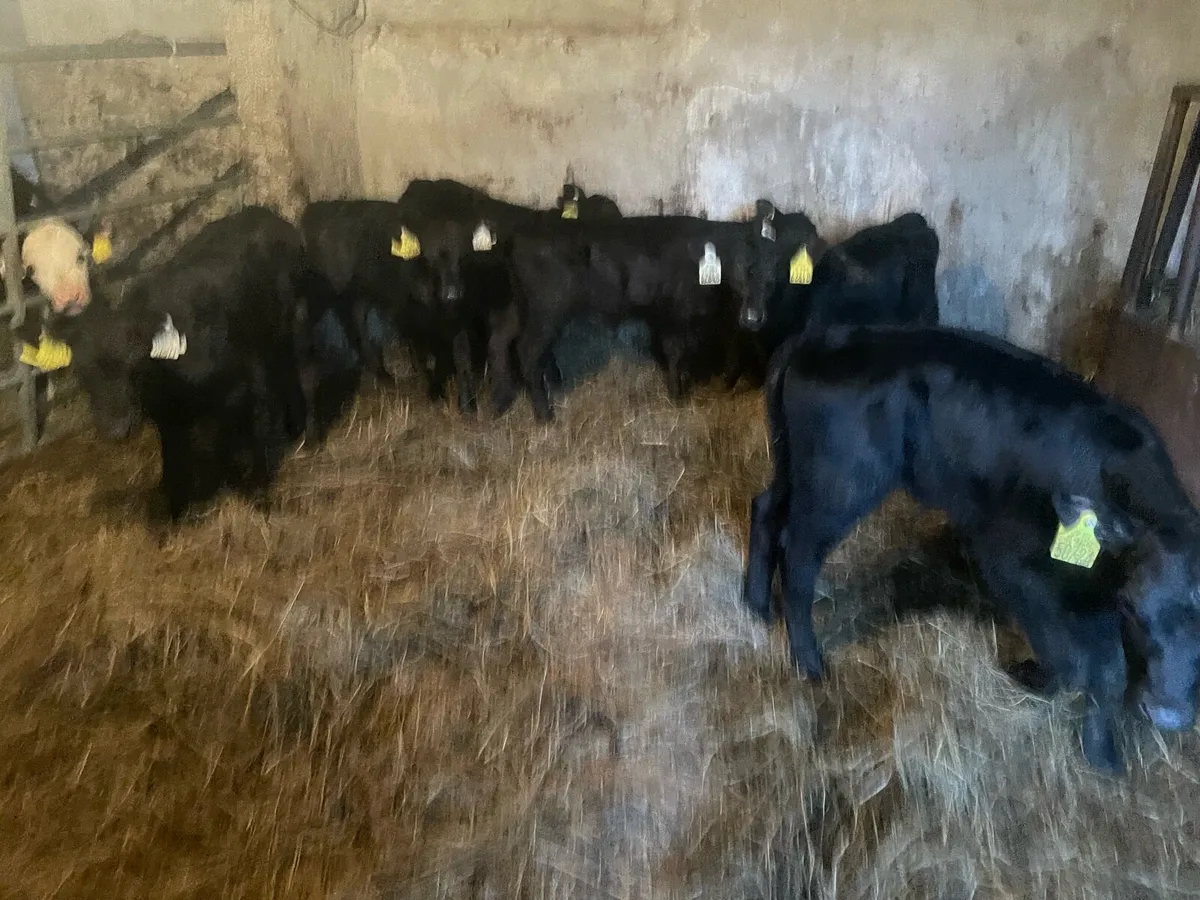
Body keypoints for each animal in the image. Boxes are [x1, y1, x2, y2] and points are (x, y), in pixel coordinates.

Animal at [55, 206, 316, 520]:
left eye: (134, 366)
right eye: (82, 373)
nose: (117, 429)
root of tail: (265, 214)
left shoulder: (243, 384)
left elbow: (252, 430)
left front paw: (258, 492)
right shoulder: (166, 415)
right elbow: (173, 455)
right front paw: (173, 508)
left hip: (292, 322)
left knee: (295, 371)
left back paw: (301, 431)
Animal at [743, 325, 1200, 773]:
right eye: (1134, 608)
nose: (1168, 714)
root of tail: (820, 336)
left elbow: (1099, 661)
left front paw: (1095, 741)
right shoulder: (1015, 563)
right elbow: (1079, 658)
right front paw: (1045, 690)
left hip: (792, 466)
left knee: (765, 509)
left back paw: (757, 608)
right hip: (838, 484)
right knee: (798, 555)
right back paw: (808, 661)